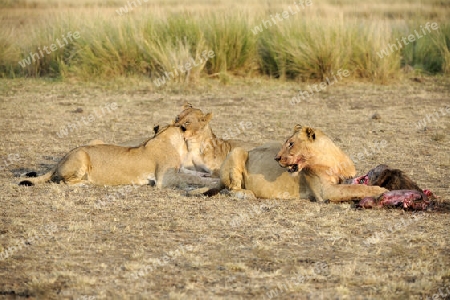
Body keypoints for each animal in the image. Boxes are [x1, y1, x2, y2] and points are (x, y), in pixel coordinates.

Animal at [20, 125, 217, 188]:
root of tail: (61, 158)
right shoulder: (163, 179)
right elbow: (189, 178)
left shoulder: (178, 170)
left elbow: (193, 174)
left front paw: (209, 175)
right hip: (82, 156)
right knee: (65, 181)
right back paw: (86, 183)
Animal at [207, 124, 386, 202]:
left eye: (291, 143)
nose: (276, 158)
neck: (330, 159)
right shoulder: (324, 192)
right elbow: (355, 188)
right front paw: (380, 190)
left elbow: (354, 185)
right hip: (238, 151)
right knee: (231, 188)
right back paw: (246, 194)